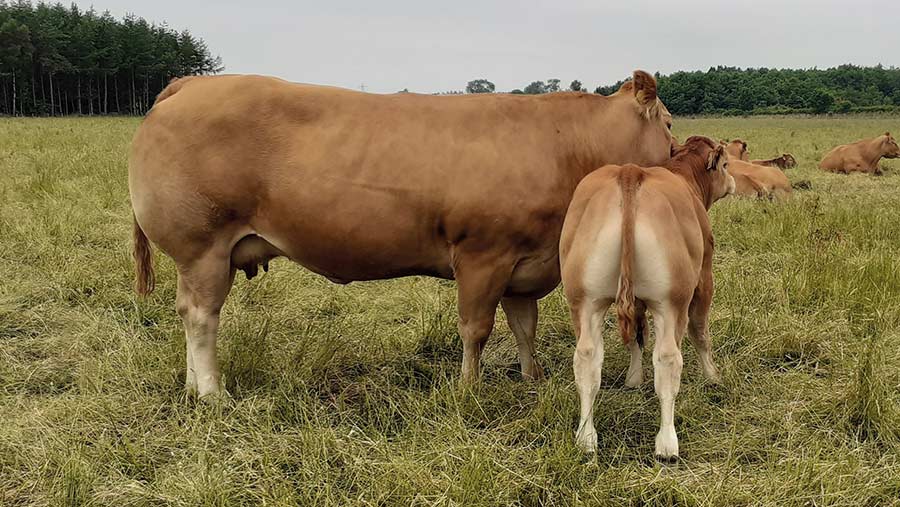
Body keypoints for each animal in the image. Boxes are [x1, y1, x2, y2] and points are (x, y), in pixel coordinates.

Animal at [128, 71, 676, 398]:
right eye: (669, 122)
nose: (677, 150)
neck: (567, 146)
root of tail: (190, 84)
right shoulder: (483, 255)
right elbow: (475, 329)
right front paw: (468, 390)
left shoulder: (526, 263)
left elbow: (525, 326)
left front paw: (532, 378)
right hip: (202, 248)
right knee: (201, 318)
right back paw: (211, 392)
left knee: (189, 314)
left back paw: (192, 387)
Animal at [560, 135, 736, 460]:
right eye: (726, 164)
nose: (732, 182)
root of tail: (630, 172)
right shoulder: (704, 277)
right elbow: (700, 333)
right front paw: (713, 376)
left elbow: (637, 336)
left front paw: (633, 379)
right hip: (671, 302)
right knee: (668, 359)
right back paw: (667, 444)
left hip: (585, 300)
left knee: (587, 359)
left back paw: (586, 438)